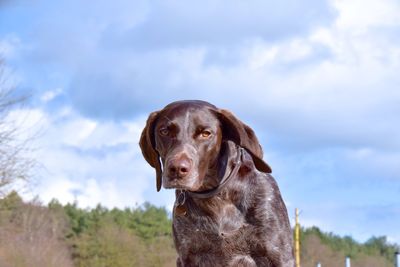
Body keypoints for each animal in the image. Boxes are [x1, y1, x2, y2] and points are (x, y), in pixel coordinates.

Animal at [140, 101, 294, 267]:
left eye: (206, 133)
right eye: (164, 131)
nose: (177, 169)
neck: (216, 196)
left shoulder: (279, 255)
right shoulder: (188, 256)